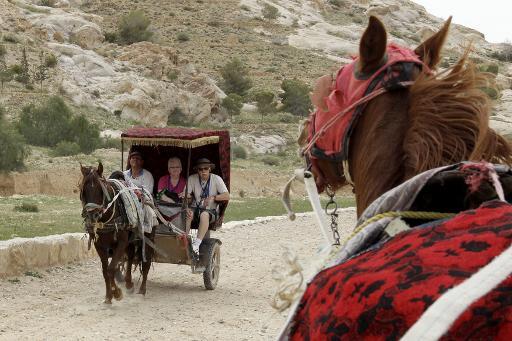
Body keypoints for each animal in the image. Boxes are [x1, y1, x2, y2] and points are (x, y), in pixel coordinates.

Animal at [80, 163, 155, 302]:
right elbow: (106, 270)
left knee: (146, 263)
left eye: (100, 189)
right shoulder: (99, 245)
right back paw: (129, 283)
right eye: (83, 190)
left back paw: (142, 290)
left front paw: (116, 293)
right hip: (130, 240)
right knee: (130, 256)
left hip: (148, 237)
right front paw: (108, 296)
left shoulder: (121, 242)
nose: (92, 216)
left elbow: (111, 269)